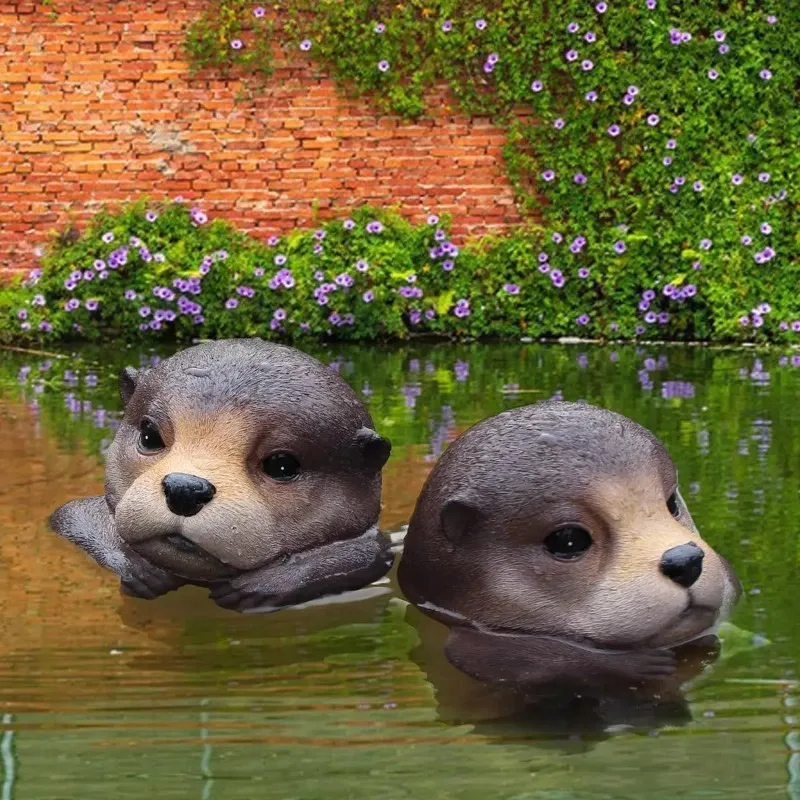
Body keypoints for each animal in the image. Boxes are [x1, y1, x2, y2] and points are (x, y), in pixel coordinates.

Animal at [50, 339, 394, 612]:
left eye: (282, 465)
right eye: (149, 435)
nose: (185, 489)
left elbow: (366, 553)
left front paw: (264, 583)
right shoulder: (73, 517)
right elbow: (73, 516)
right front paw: (137, 565)